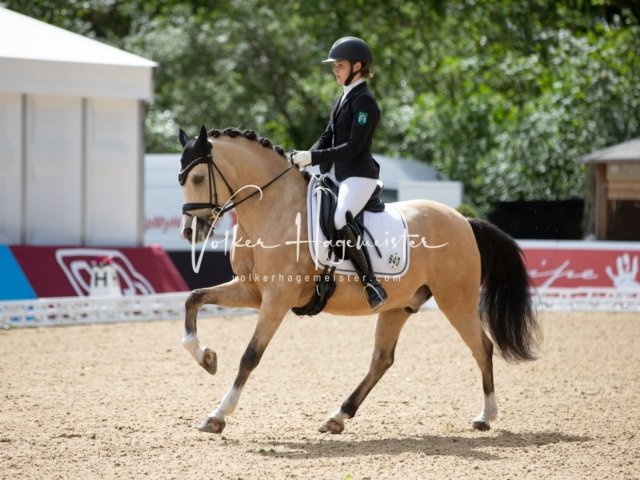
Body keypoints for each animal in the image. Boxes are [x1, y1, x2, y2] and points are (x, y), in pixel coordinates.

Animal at [178, 125, 539, 435]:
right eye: (181, 179)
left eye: (197, 177)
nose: (190, 232)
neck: (274, 211)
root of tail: (463, 220)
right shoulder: (252, 290)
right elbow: (194, 297)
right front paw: (206, 358)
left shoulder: (277, 299)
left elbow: (250, 355)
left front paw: (218, 414)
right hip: (398, 306)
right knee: (382, 360)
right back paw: (338, 416)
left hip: (456, 300)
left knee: (482, 347)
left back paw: (486, 416)